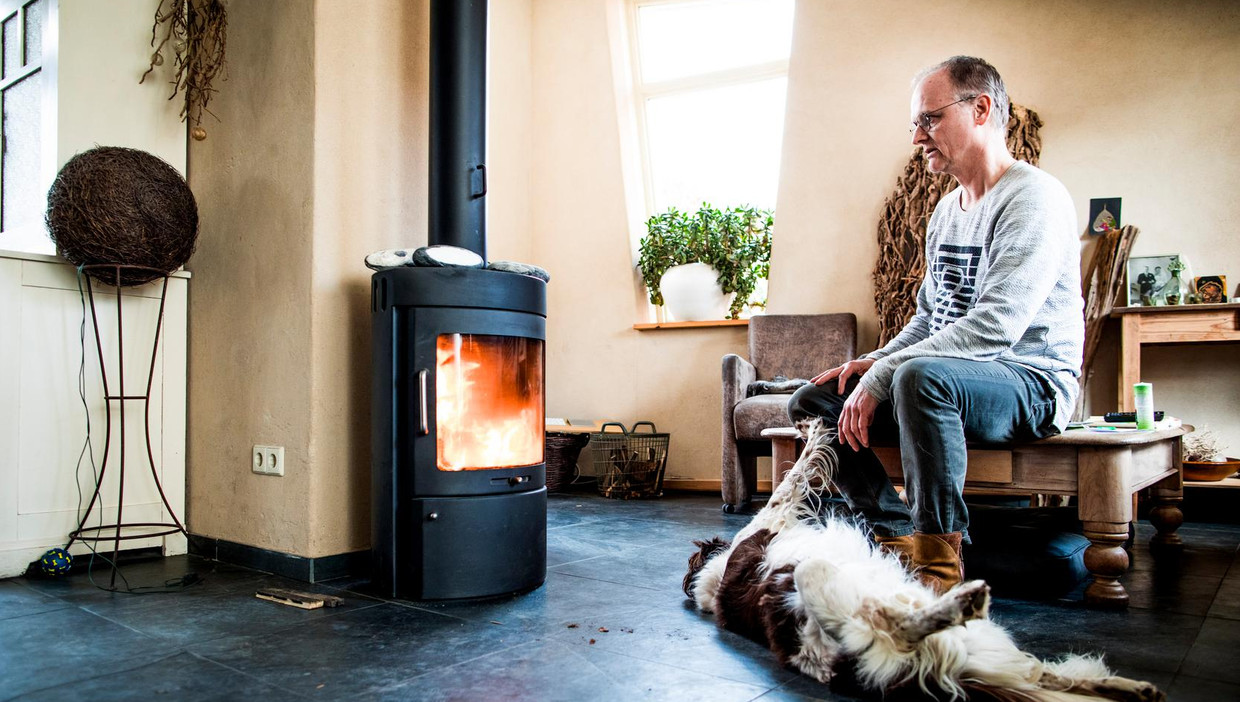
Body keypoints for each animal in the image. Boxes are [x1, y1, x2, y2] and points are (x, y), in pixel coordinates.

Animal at [689, 421, 1160, 699]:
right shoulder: (771, 518)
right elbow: (794, 475)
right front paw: (817, 430)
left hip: (981, 643)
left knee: (1043, 675)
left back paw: (1134, 687)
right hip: (823, 586)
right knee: (902, 627)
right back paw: (963, 602)